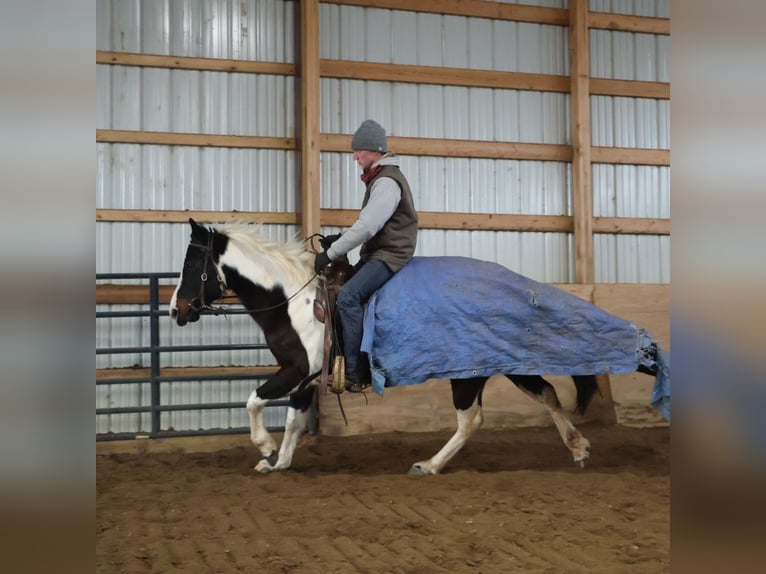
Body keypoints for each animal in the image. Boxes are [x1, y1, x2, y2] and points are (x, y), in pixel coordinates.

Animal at [169, 219, 650, 474]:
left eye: (191, 263)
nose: (177, 308)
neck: (294, 298)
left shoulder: (296, 370)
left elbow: (253, 400)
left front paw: (264, 448)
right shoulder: (304, 379)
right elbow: (293, 420)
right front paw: (279, 461)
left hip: (469, 374)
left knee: (471, 420)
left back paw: (431, 465)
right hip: (508, 362)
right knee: (547, 393)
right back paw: (577, 446)